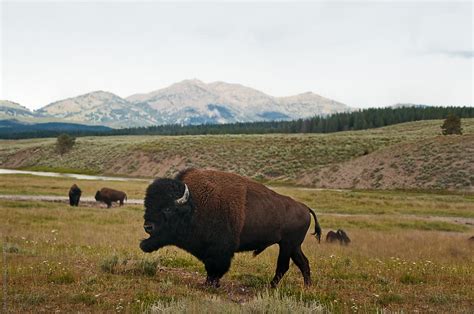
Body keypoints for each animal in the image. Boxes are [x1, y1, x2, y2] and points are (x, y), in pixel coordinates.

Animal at [138, 168, 322, 288]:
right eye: (147, 205)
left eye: (168, 209)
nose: (148, 226)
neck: (194, 206)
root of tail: (304, 207)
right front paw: (210, 283)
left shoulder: (219, 250)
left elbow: (215, 268)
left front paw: (210, 285)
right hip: (293, 246)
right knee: (303, 262)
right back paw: (307, 286)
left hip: (286, 245)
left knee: (283, 266)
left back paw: (271, 287)